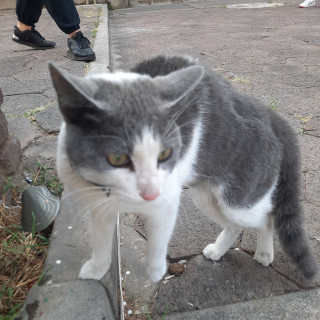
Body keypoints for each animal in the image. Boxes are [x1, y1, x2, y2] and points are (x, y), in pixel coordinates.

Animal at [50, 55, 318, 282]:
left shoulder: (165, 201)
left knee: (267, 215)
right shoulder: (98, 205)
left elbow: (157, 241)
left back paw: (264, 252)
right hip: (206, 196)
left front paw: (155, 272)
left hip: (239, 200)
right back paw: (218, 250)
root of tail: (265, 112)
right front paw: (97, 269)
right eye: (117, 157)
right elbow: (100, 240)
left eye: (165, 153)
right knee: (235, 225)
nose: (149, 192)